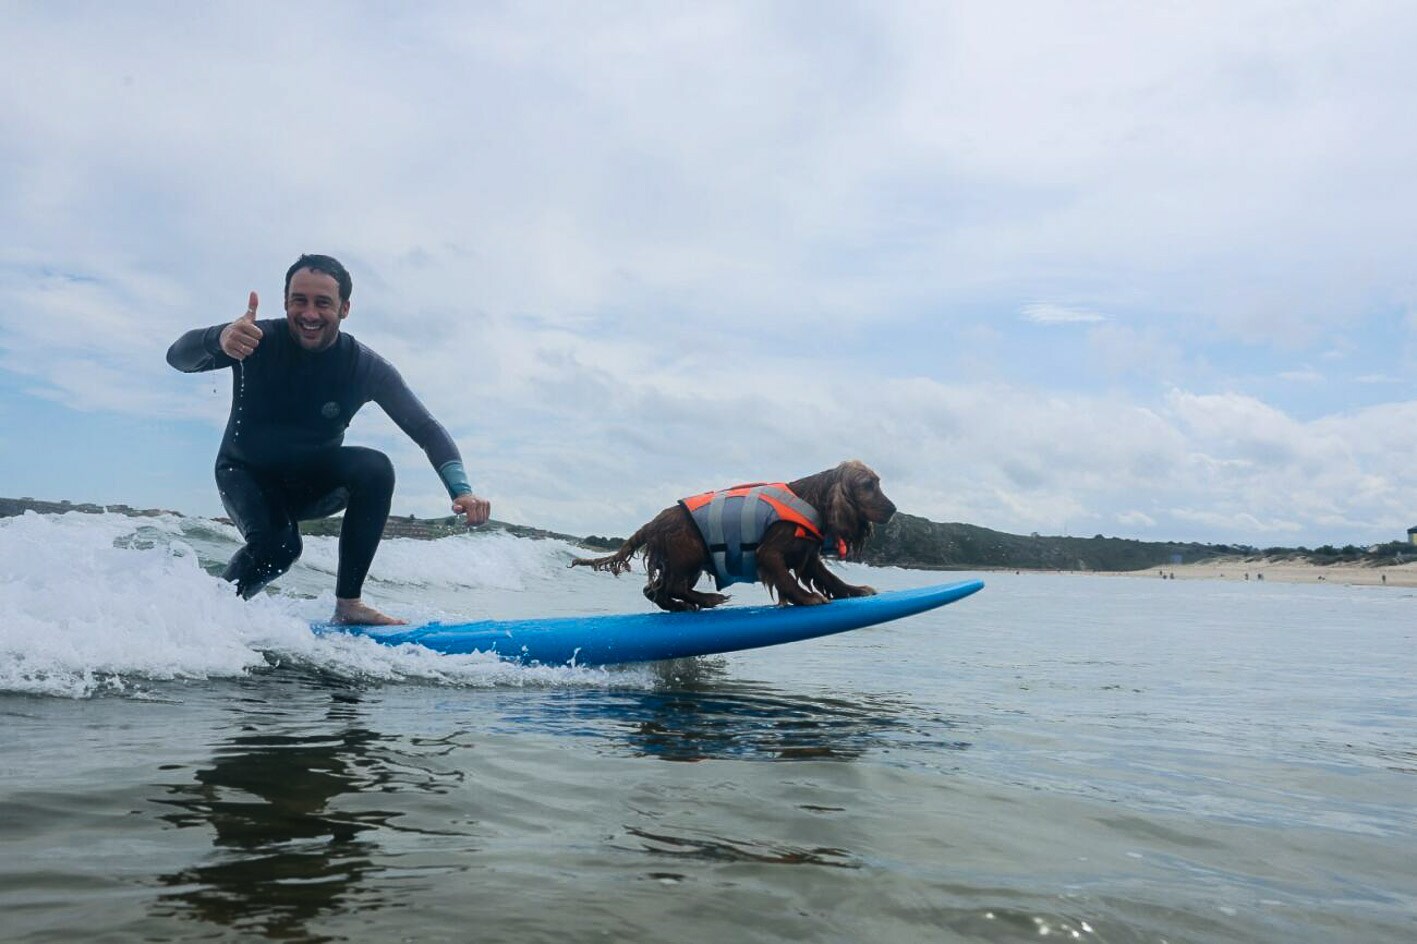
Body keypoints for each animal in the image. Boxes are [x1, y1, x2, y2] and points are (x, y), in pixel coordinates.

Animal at [566, 462, 889, 609]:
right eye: (868, 485)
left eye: (878, 482)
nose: (893, 509)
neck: (813, 499)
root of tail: (653, 522)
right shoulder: (769, 552)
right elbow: (786, 580)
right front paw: (808, 598)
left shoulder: (807, 557)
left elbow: (831, 578)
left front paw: (856, 590)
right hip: (690, 552)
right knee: (668, 587)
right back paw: (708, 598)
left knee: (656, 590)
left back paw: (687, 605)